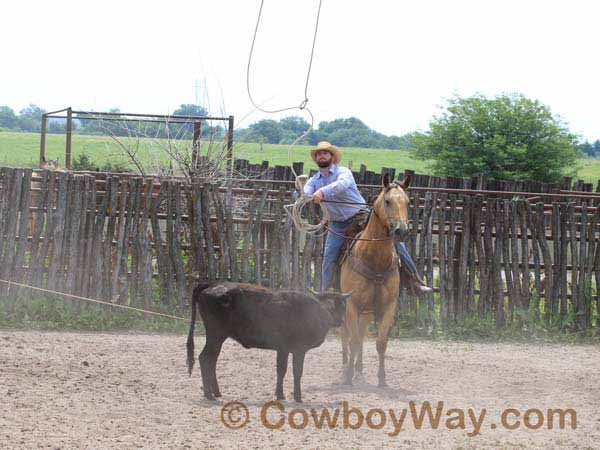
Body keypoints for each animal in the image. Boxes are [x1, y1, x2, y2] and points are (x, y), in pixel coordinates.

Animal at [340, 172, 410, 386]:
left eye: (408, 201)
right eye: (387, 201)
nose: (401, 231)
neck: (374, 259)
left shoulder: (388, 306)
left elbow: (380, 343)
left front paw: (382, 379)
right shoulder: (352, 304)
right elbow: (353, 340)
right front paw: (348, 377)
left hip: (368, 311)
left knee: (361, 334)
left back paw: (359, 371)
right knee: (345, 335)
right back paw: (346, 369)